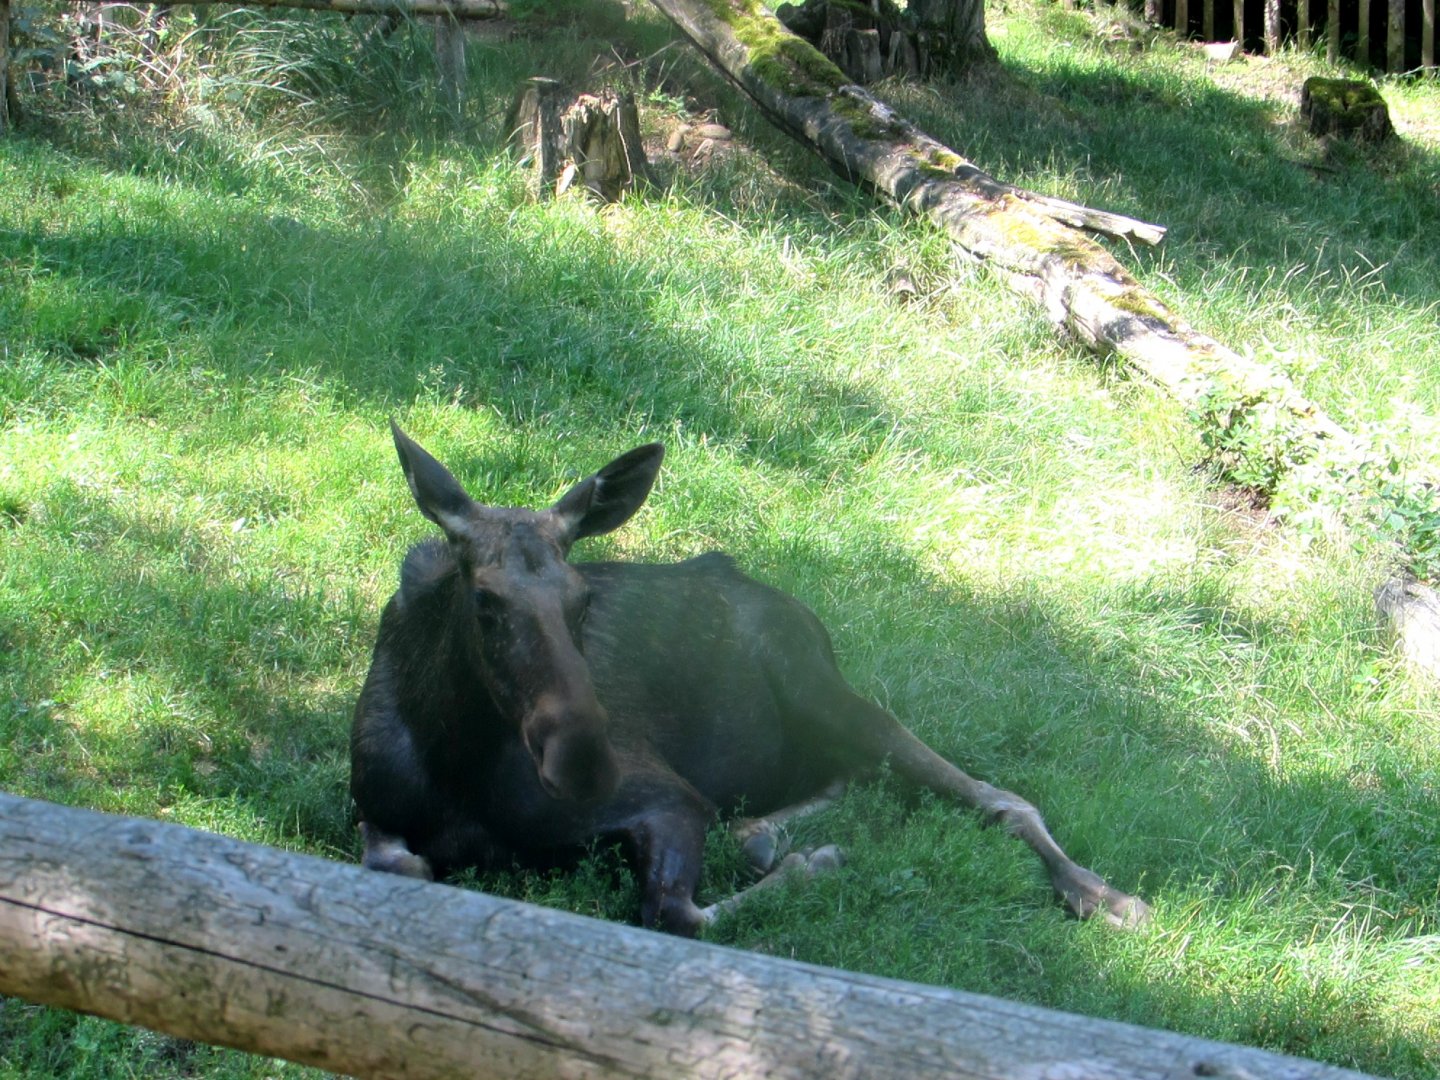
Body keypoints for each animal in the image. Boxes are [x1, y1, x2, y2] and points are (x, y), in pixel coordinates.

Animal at [350, 423, 1150, 935]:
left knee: (992, 793)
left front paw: (817, 864)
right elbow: (398, 867)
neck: (455, 763)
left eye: (583, 600)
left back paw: (1107, 897)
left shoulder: (672, 798)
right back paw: (762, 833)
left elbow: (676, 913)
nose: (583, 759)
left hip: (822, 690)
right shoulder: (374, 813)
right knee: (847, 780)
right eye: (485, 600)